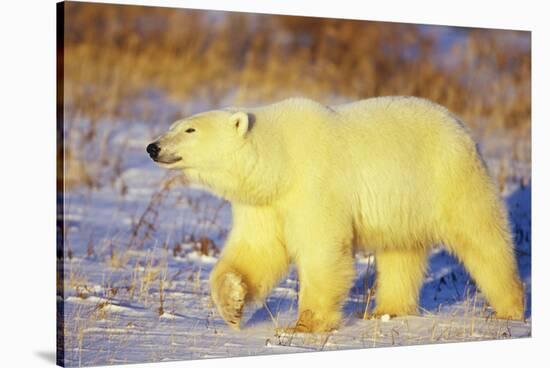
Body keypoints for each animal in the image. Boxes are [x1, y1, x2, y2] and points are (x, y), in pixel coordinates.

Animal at [148, 96, 528, 332]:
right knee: (400, 253)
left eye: (189, 129)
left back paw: (509, 307)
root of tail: (460, 125)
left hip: (449, 176)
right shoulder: (265, 203)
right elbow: (257, 251)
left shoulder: (315, 182)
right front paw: (233, 303)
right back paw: (386, 310)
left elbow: (322, 250)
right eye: (173, 125)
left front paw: (304, 325)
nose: (153, 147)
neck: (281, 160)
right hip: (404, 205)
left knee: (481, 235)